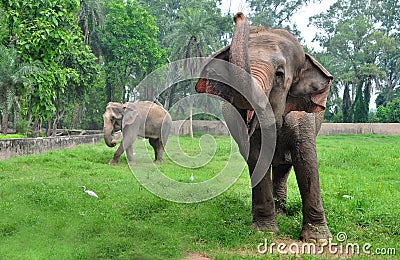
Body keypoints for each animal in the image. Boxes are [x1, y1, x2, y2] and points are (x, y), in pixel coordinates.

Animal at [195, 13, 332, 242]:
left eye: (279, 73)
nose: (238, 15)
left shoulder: (303, 117)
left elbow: (306, 160)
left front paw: (318, 239)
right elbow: (258, 156)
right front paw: (265, 231)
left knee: (284, 166)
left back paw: (282, 213)